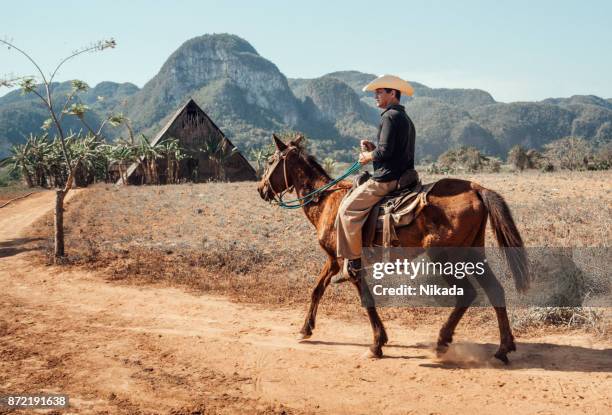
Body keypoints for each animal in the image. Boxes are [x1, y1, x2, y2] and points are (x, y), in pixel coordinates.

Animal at [256, 136, 528, 364]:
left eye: (270, 161)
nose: (261, 189)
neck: (326, 201)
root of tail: (476, 188)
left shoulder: (350, 264)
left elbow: (366, 300)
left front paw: (377, 344)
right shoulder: (334, 259)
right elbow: (317, 290)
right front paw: (306, 329)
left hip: (446, 257)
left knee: (467, 294)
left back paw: (443, 341)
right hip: (472, 253)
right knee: (495, 290)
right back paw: (503, 349)